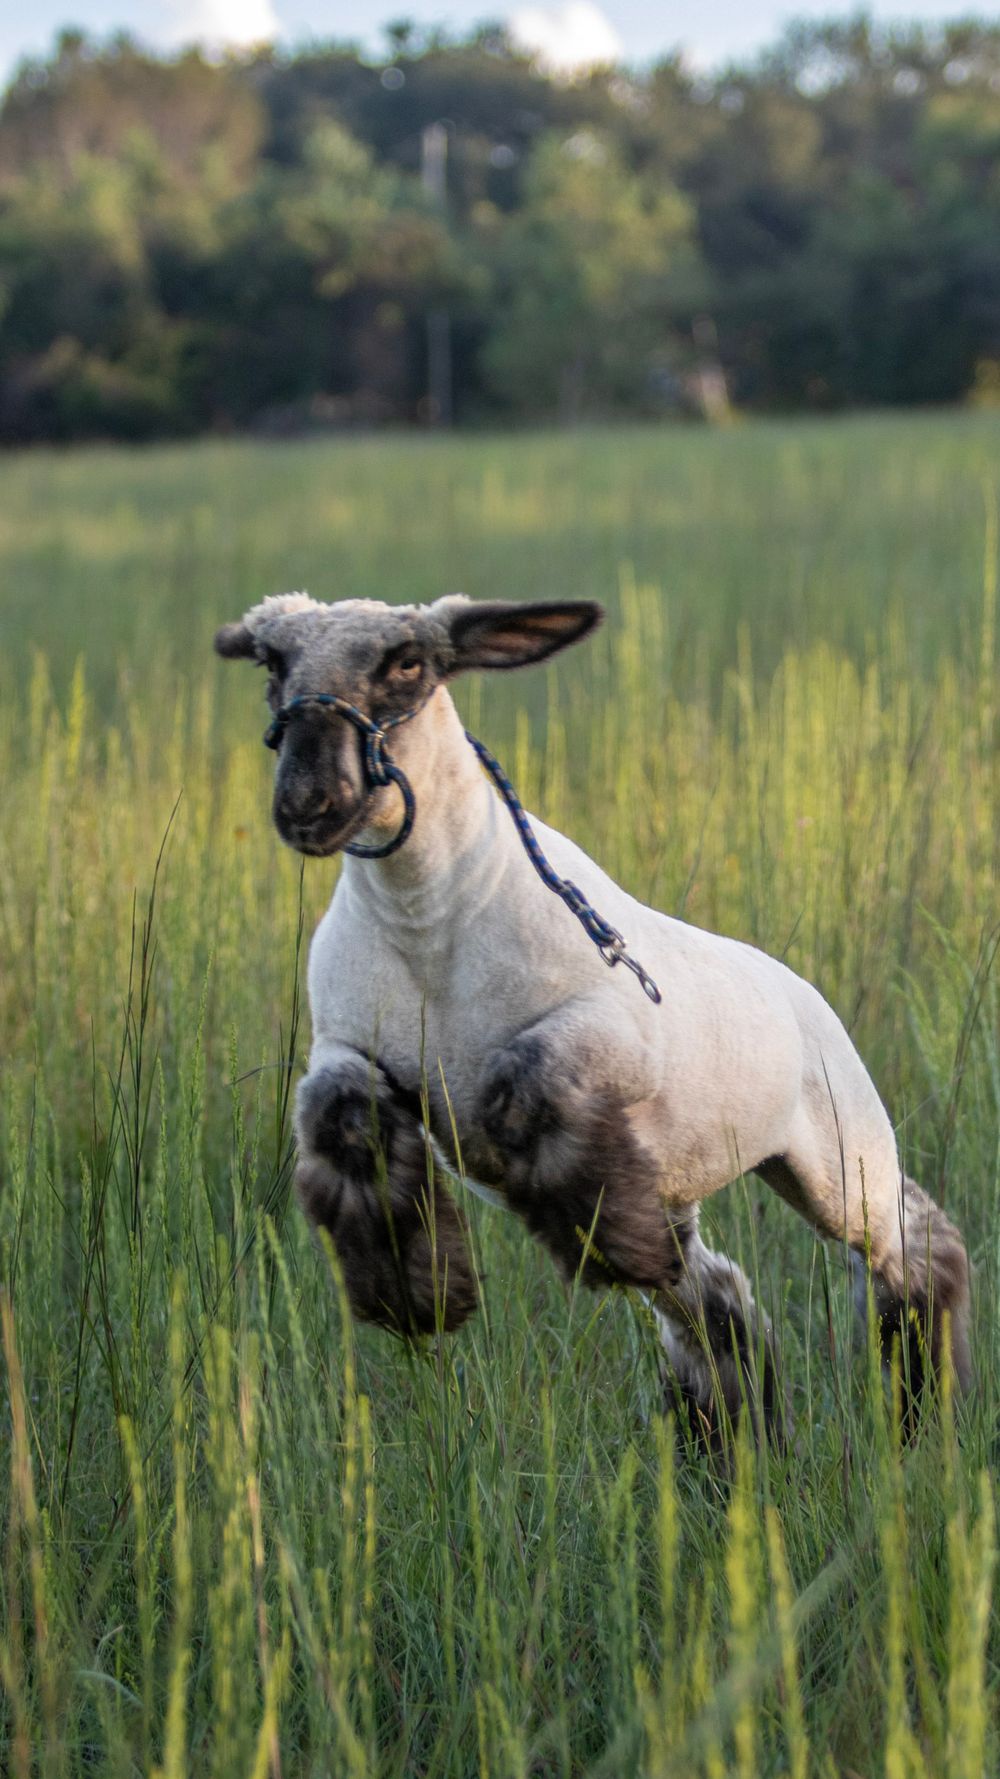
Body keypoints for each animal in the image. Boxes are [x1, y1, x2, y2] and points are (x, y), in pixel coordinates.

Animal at [215, 591, 972, 1442]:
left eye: (407, 662)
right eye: (272, 662)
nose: (308, 804)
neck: (431, 926)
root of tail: (802, 992)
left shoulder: (614, 1040)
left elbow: (520, 1087)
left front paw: (606, 1254)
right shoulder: (348, 1049)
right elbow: (344, 1119)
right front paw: (417, 1299)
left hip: (841, 1159)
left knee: (916, 1247)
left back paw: (919, 1409)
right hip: (694, 1183)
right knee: (717, 1304)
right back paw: (735, 1439)